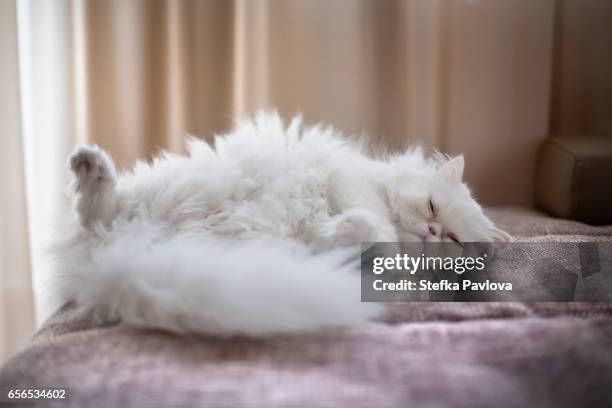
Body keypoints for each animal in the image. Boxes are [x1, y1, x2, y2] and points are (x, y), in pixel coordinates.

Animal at [50, 111, 512, 334]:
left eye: (455, 240)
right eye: (432, 208)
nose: (432, 233)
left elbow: (353, 236)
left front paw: (350, 230)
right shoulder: (351, 179)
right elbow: (377, 225)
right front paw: (372, 230)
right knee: (97, 210)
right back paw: (89, 163)